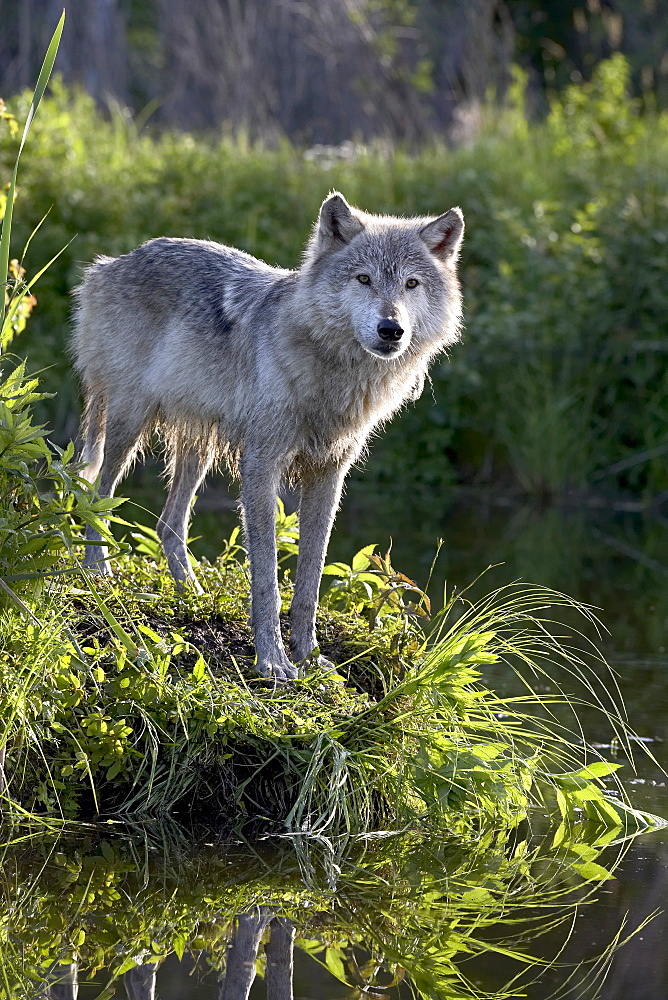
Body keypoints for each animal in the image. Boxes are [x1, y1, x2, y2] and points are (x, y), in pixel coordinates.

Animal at [70, 193, 462, 680]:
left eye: (411, 284)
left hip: (198, 450)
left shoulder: (329, 475)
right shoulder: (261, 464)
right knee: (98, 495)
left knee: (168, 525)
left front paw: (309, 656)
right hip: (128, 425)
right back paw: (97, 574)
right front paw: (272, 660)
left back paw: (192, 594)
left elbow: (310, 581)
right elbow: (267, 579)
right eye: (364, 279)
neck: (332, 377)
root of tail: (110, 263)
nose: (392, 330)